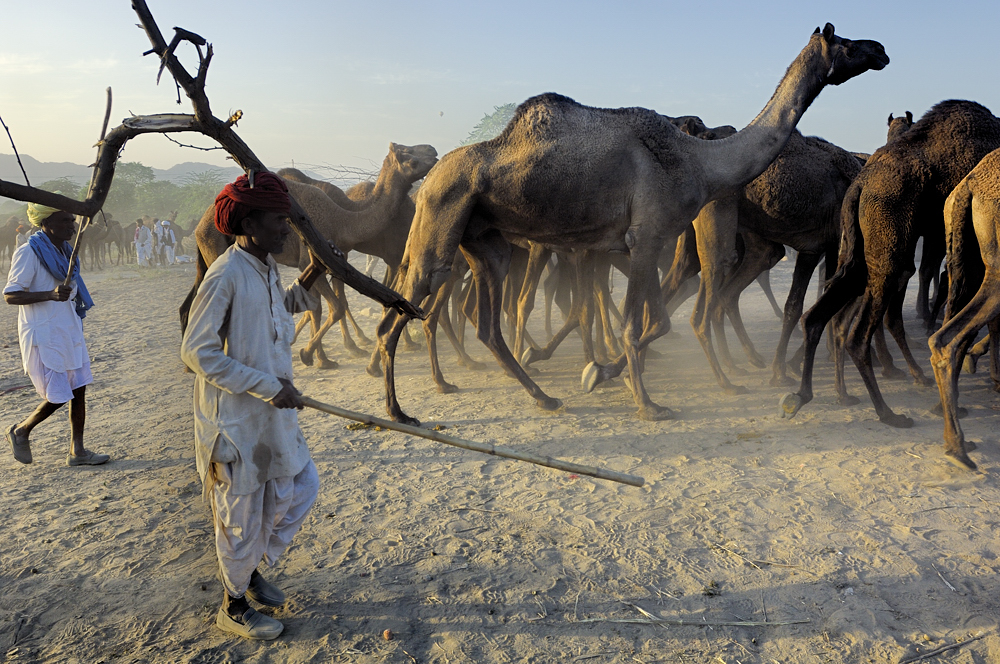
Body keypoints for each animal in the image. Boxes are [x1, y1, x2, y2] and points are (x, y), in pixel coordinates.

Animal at [371, 24, 888, 425]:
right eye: (845, 42)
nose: (881, 50)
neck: (698, 161)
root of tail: (431, 180)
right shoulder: (646, 237)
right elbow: (638, 323)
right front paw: (646, 404)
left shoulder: (647, 240)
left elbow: (655, 320)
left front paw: (601, 375)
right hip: (440, 227)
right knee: (405, 307)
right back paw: (400, 408)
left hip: (486, 242)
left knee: (487, 323)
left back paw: (544, 396)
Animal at [781, 100, 1000, 428]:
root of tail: (859, 185)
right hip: (888, 243)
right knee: (860, 334)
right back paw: (889, 412)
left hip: (861, 252)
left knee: (817, 316)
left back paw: (808, 395)